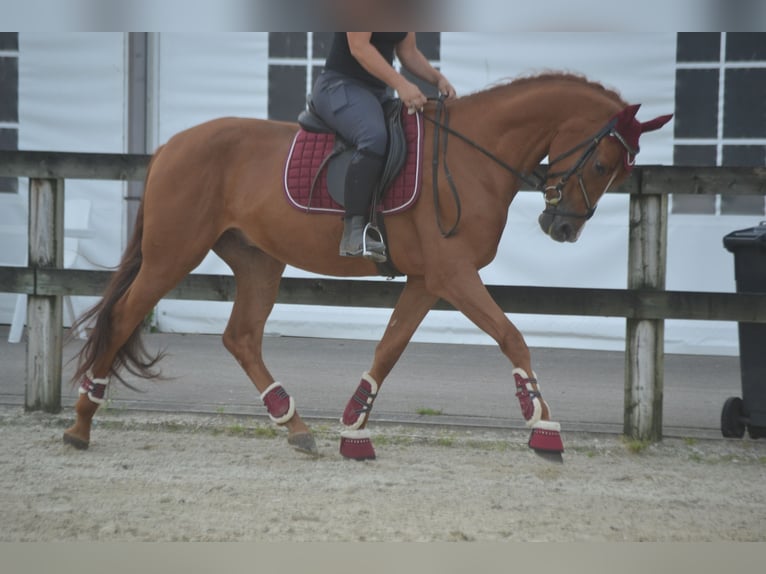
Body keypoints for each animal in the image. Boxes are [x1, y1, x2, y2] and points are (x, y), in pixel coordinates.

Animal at [63, 73, 672, 464]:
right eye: (602, 163)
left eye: (619, 170)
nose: (563, 228)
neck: (472, 155)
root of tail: (171, 145)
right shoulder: (454, 276)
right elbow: (511, 337)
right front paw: (543, 428)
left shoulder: (429, 280)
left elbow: (390, 347)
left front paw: (353, 430)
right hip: (173, 253)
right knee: (123, 320)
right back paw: (81, 425)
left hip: (259, 260)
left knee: (240, 337)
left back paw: (295, 426)